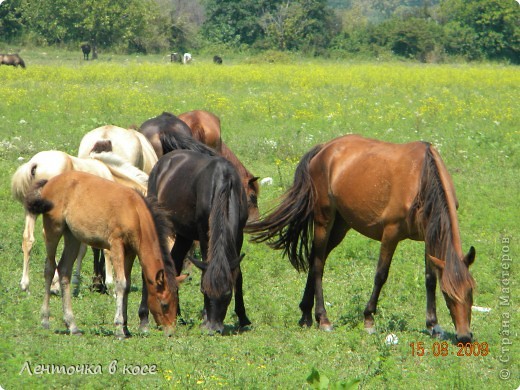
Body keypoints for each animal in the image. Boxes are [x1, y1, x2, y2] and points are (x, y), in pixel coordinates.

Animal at [10, 149, 148, 292]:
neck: (109, 174)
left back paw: (25, 284)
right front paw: (109, 281)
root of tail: (34, 164)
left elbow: (83, 250)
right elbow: (105, 250)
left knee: (28, 239)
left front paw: (78, 280)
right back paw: (54, 283)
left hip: (31, 210)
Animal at [24, 171, 179, 338]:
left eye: (176, 303)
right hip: (53, 229)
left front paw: (125, 328)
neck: (135, 213)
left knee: (64, 270)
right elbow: (121, 283)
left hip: (72, 236)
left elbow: (127, 285)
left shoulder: (130, 252)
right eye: (164, 304)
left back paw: (72, 325)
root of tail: (49, 182)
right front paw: (119, 328)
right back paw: (45, 319)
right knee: (49, 268)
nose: (170, 332)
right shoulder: (116, 245)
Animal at [140, 145, 250, 334]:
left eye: (227, 293)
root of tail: (164, 161)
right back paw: (144, 318)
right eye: (203, 291)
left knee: (175, 262)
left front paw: (243, 317)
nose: (213, 328)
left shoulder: (238, 234)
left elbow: (237, 274)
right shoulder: (204, 232)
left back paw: (177, 314)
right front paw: (205, 318)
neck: (224, 187)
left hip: (184, 234)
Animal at [246, 135, 478, 344]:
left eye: (471, 291)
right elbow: (381, 275)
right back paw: (323, 319)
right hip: (324, 220)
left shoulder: (429, 237)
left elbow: (430, 279)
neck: (422, 178)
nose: (464, 337)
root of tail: (324, 148)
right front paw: (368, 319)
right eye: (448, 294)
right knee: (318, 264)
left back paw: (306, 315)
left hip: (341, 225)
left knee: (314, 260)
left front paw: (433, 325)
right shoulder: (391, 233)